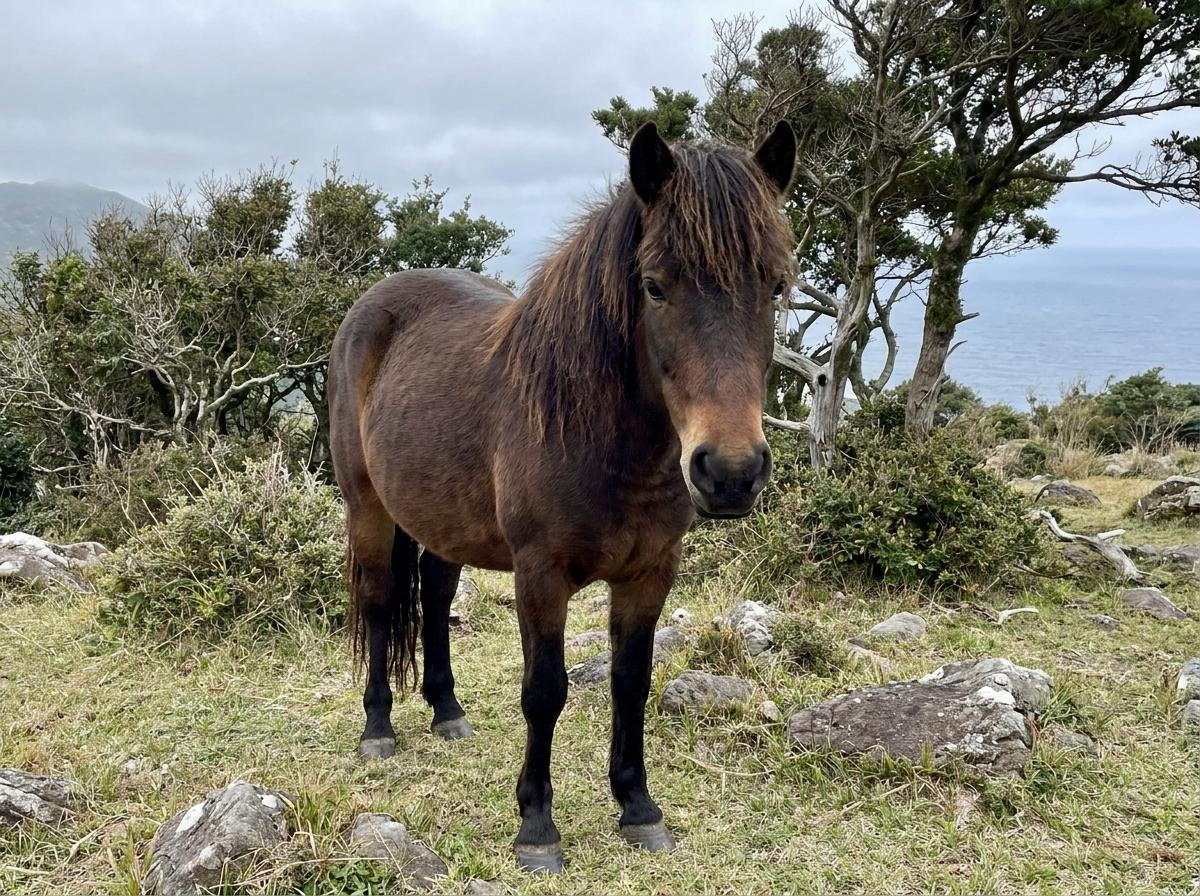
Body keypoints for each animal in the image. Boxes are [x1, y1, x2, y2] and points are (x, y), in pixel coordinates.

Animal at [327, 120, 796, 873]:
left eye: (775, 285)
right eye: (654, 286)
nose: (730, 472)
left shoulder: (649, 573)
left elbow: (631, 682)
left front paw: (638, 807)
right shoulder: (540, 575)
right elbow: (544, 692)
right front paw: (537, 827)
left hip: (442, 518)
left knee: (434, 591)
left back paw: (447, 710)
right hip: (367, 507)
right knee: (377, 601)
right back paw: (378, 728)